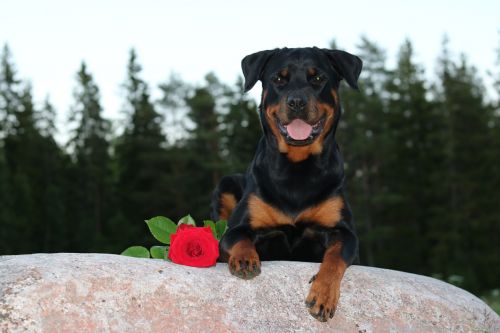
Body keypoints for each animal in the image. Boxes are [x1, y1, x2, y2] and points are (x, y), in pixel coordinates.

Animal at [209, 47, 362, 322]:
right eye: (279, 79)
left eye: (318, 78)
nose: (297, 102)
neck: (297, 168)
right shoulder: (238, 228)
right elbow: (238, 238)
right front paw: (245, 259)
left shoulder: (345, 233)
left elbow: (335, 257)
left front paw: (323, 295)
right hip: (226, 184)